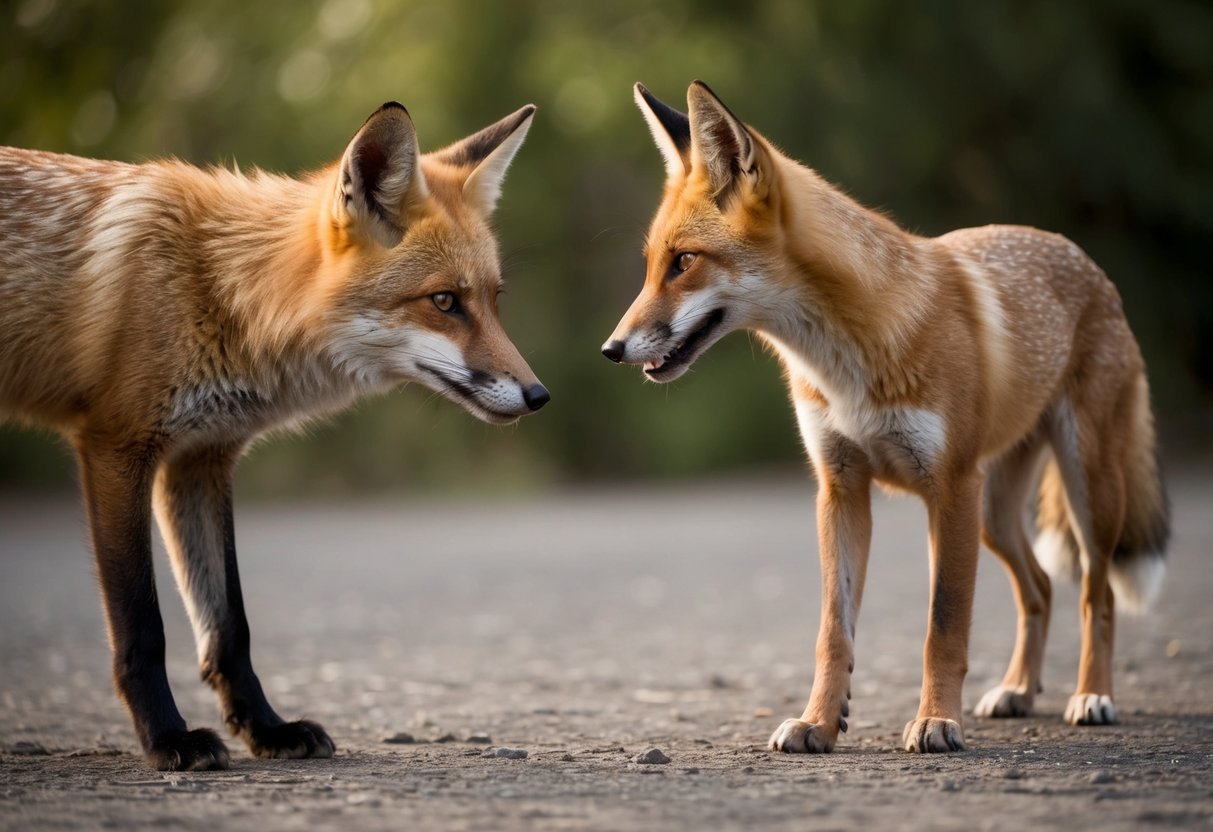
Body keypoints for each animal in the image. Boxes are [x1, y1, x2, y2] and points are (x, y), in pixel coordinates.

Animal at [0, 101, 549, 770]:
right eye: (444, 301)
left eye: (494, 300)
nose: (538, 396)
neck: (220, 289)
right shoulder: (116, 446)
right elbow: (142, 626)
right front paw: (167, 739)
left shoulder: (200, 459)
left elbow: (230, 625)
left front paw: (266, 728)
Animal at [603, 81, 1169, 753]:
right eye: (649, 265)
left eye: (684, 262)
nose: (611, 348)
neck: (845, 366)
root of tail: (1082, 257)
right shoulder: (841, 487)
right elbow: (833, 632)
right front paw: (819, 723)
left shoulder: (950, 488)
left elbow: (943, 627)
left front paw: (936, 722)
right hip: (994, 515)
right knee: (1041, 587)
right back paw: (1019, 690)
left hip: (1082, 491)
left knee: (1095, 593)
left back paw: (1092, 696)